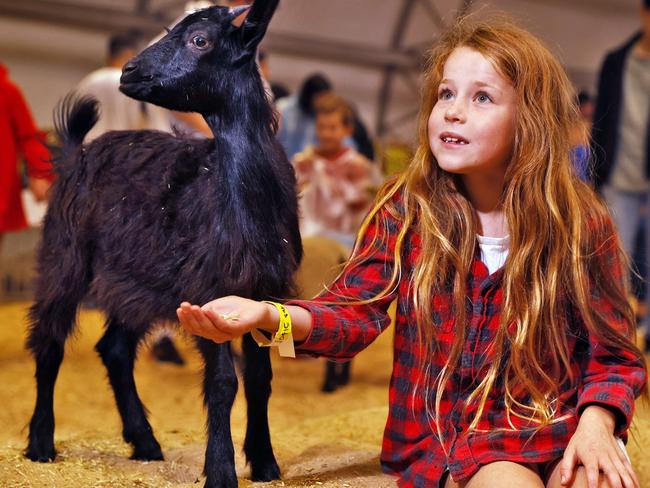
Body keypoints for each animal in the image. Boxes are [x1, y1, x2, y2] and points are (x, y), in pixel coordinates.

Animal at [23, 1, 302, 486]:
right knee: (50, 341)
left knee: (115, 349)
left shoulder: (265, 292)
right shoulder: (209, 290)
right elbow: (223, 383)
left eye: (200, 40)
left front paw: (265, 462)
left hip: (134, 281)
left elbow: (260, 378)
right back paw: (41, 444)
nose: (130, 71)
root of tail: (76, 154)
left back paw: (145, 442)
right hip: (65, 255)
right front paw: (221, 470)